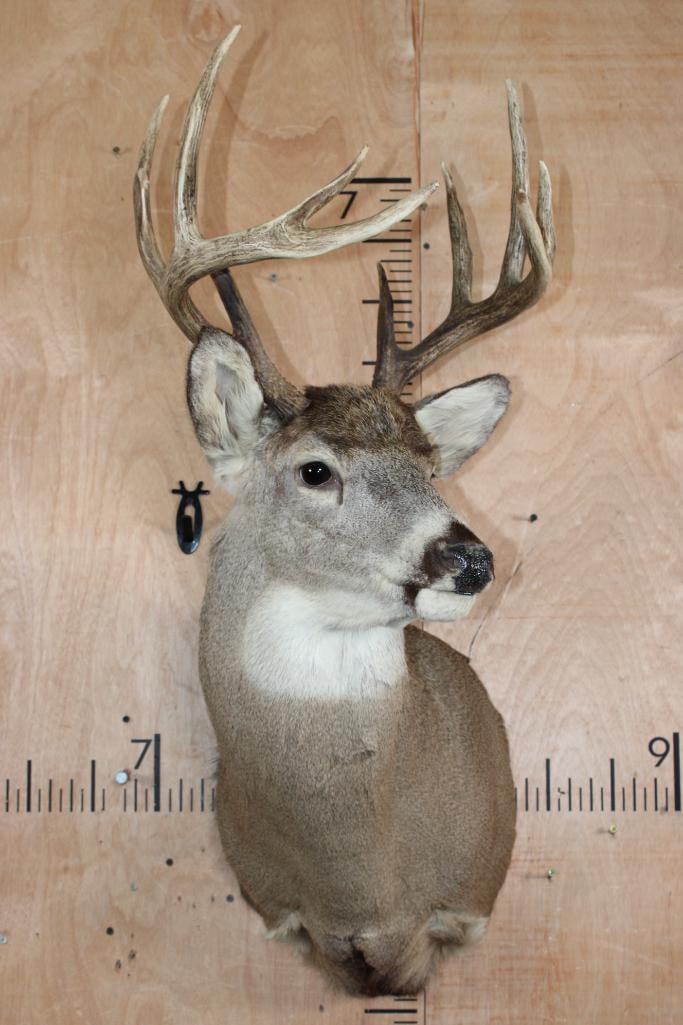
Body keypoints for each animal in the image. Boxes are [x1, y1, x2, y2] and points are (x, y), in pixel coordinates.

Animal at [134, 27, 554, 997]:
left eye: (431, 465)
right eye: (315, 469)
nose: (470, 559)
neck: (359, 878)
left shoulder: (453, 910)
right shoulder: (288, 918)